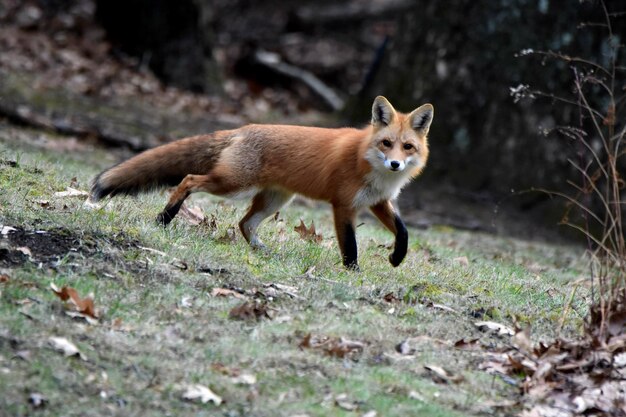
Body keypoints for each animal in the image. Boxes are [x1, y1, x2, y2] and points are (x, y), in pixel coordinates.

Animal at [90, 96, 432, 268]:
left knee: (245, 224)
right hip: (233, 185)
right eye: (386, 143)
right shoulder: (344, 206)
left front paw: (397, 257)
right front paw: (353, 273)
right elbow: (350, 246)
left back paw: (264, 251)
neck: (370, 164)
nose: (395, 164)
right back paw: (165, 217)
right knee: (188, 180)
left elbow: (403, 231)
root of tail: (242, 129)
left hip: (274, 199)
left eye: (407, 147)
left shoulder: (378, 201)